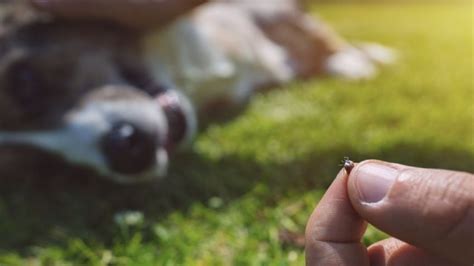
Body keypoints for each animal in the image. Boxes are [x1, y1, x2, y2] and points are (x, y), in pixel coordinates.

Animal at [0, 0, 392, 183]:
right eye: (44, 167)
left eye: (25, 82)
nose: (125, 151)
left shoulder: (269, 10)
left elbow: (318, 36)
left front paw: (351, 62)